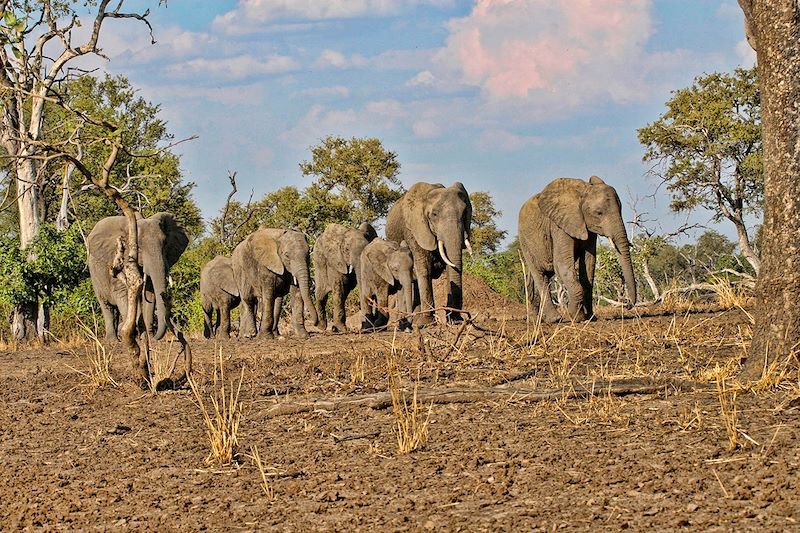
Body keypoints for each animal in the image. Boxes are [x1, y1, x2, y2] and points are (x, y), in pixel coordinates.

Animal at [386, 181, 472, 326]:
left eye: (465, 213)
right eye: (434, 215)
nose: (458, 318)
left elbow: (450, 266)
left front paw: (456, 321)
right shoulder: (414, 230)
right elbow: (424, 267)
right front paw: (426, 323)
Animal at [520, 177, 636, 322]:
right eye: (599, 213)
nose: (627, 304)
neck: (583, 192)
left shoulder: (588, 228)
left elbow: (589, 263)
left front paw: (590, 317)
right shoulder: (559, 226)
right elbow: (562, 263)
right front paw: (575, 316)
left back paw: (535, 319)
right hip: (525, 242)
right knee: (540, 275)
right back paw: (554, 319)